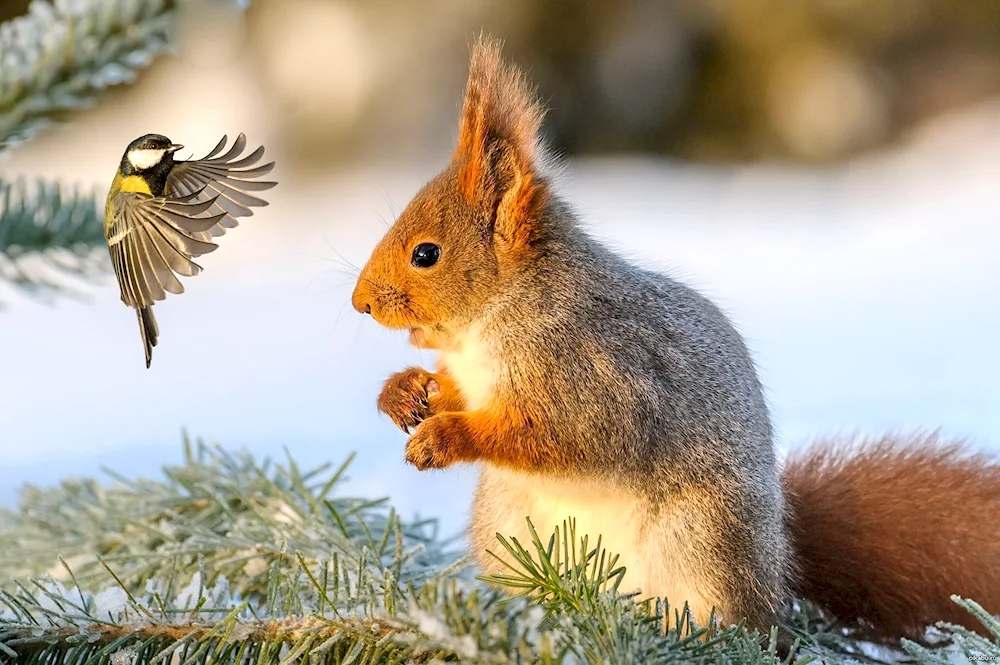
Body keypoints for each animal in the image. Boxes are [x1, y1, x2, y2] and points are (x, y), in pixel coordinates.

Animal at [350, 35, 1000, 640]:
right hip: (509, 526)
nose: (359, 304)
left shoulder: (596, 374)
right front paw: (404, 392)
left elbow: (561, 435)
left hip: (701, 543)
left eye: (426, 254)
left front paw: (445, 436)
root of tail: (779, 562)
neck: (491, 324)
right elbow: (455, 392)